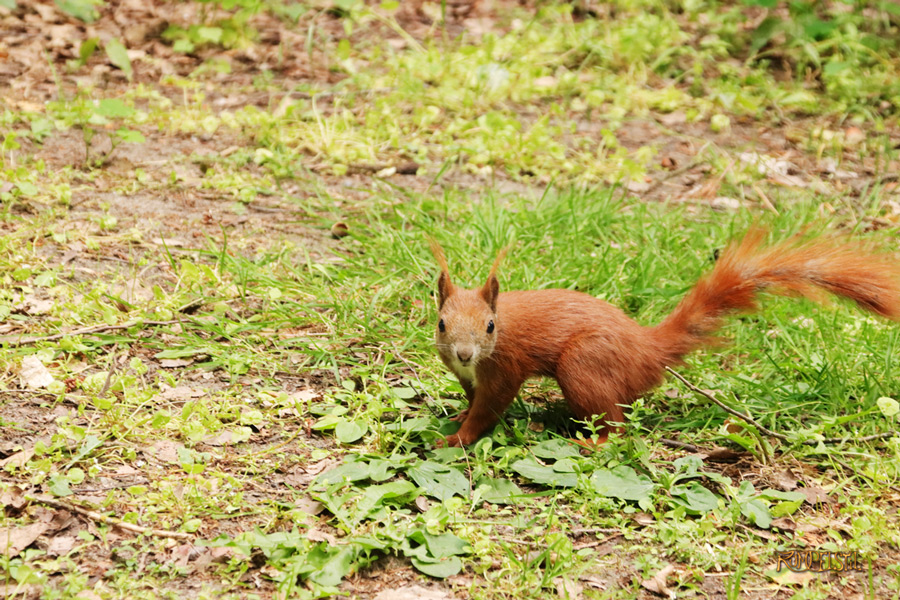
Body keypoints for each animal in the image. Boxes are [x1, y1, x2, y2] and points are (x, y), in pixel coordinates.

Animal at [430, 229, 900, 448]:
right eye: (440, 323)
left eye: (491, 326)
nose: (465, 353)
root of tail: (648, 351)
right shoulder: (468, 375)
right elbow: (473, 399)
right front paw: (458, 416)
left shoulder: (504, 368)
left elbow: (489, 409)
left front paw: (456, 438)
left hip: (584, 366)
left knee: (616, 425)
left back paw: (592, 443)